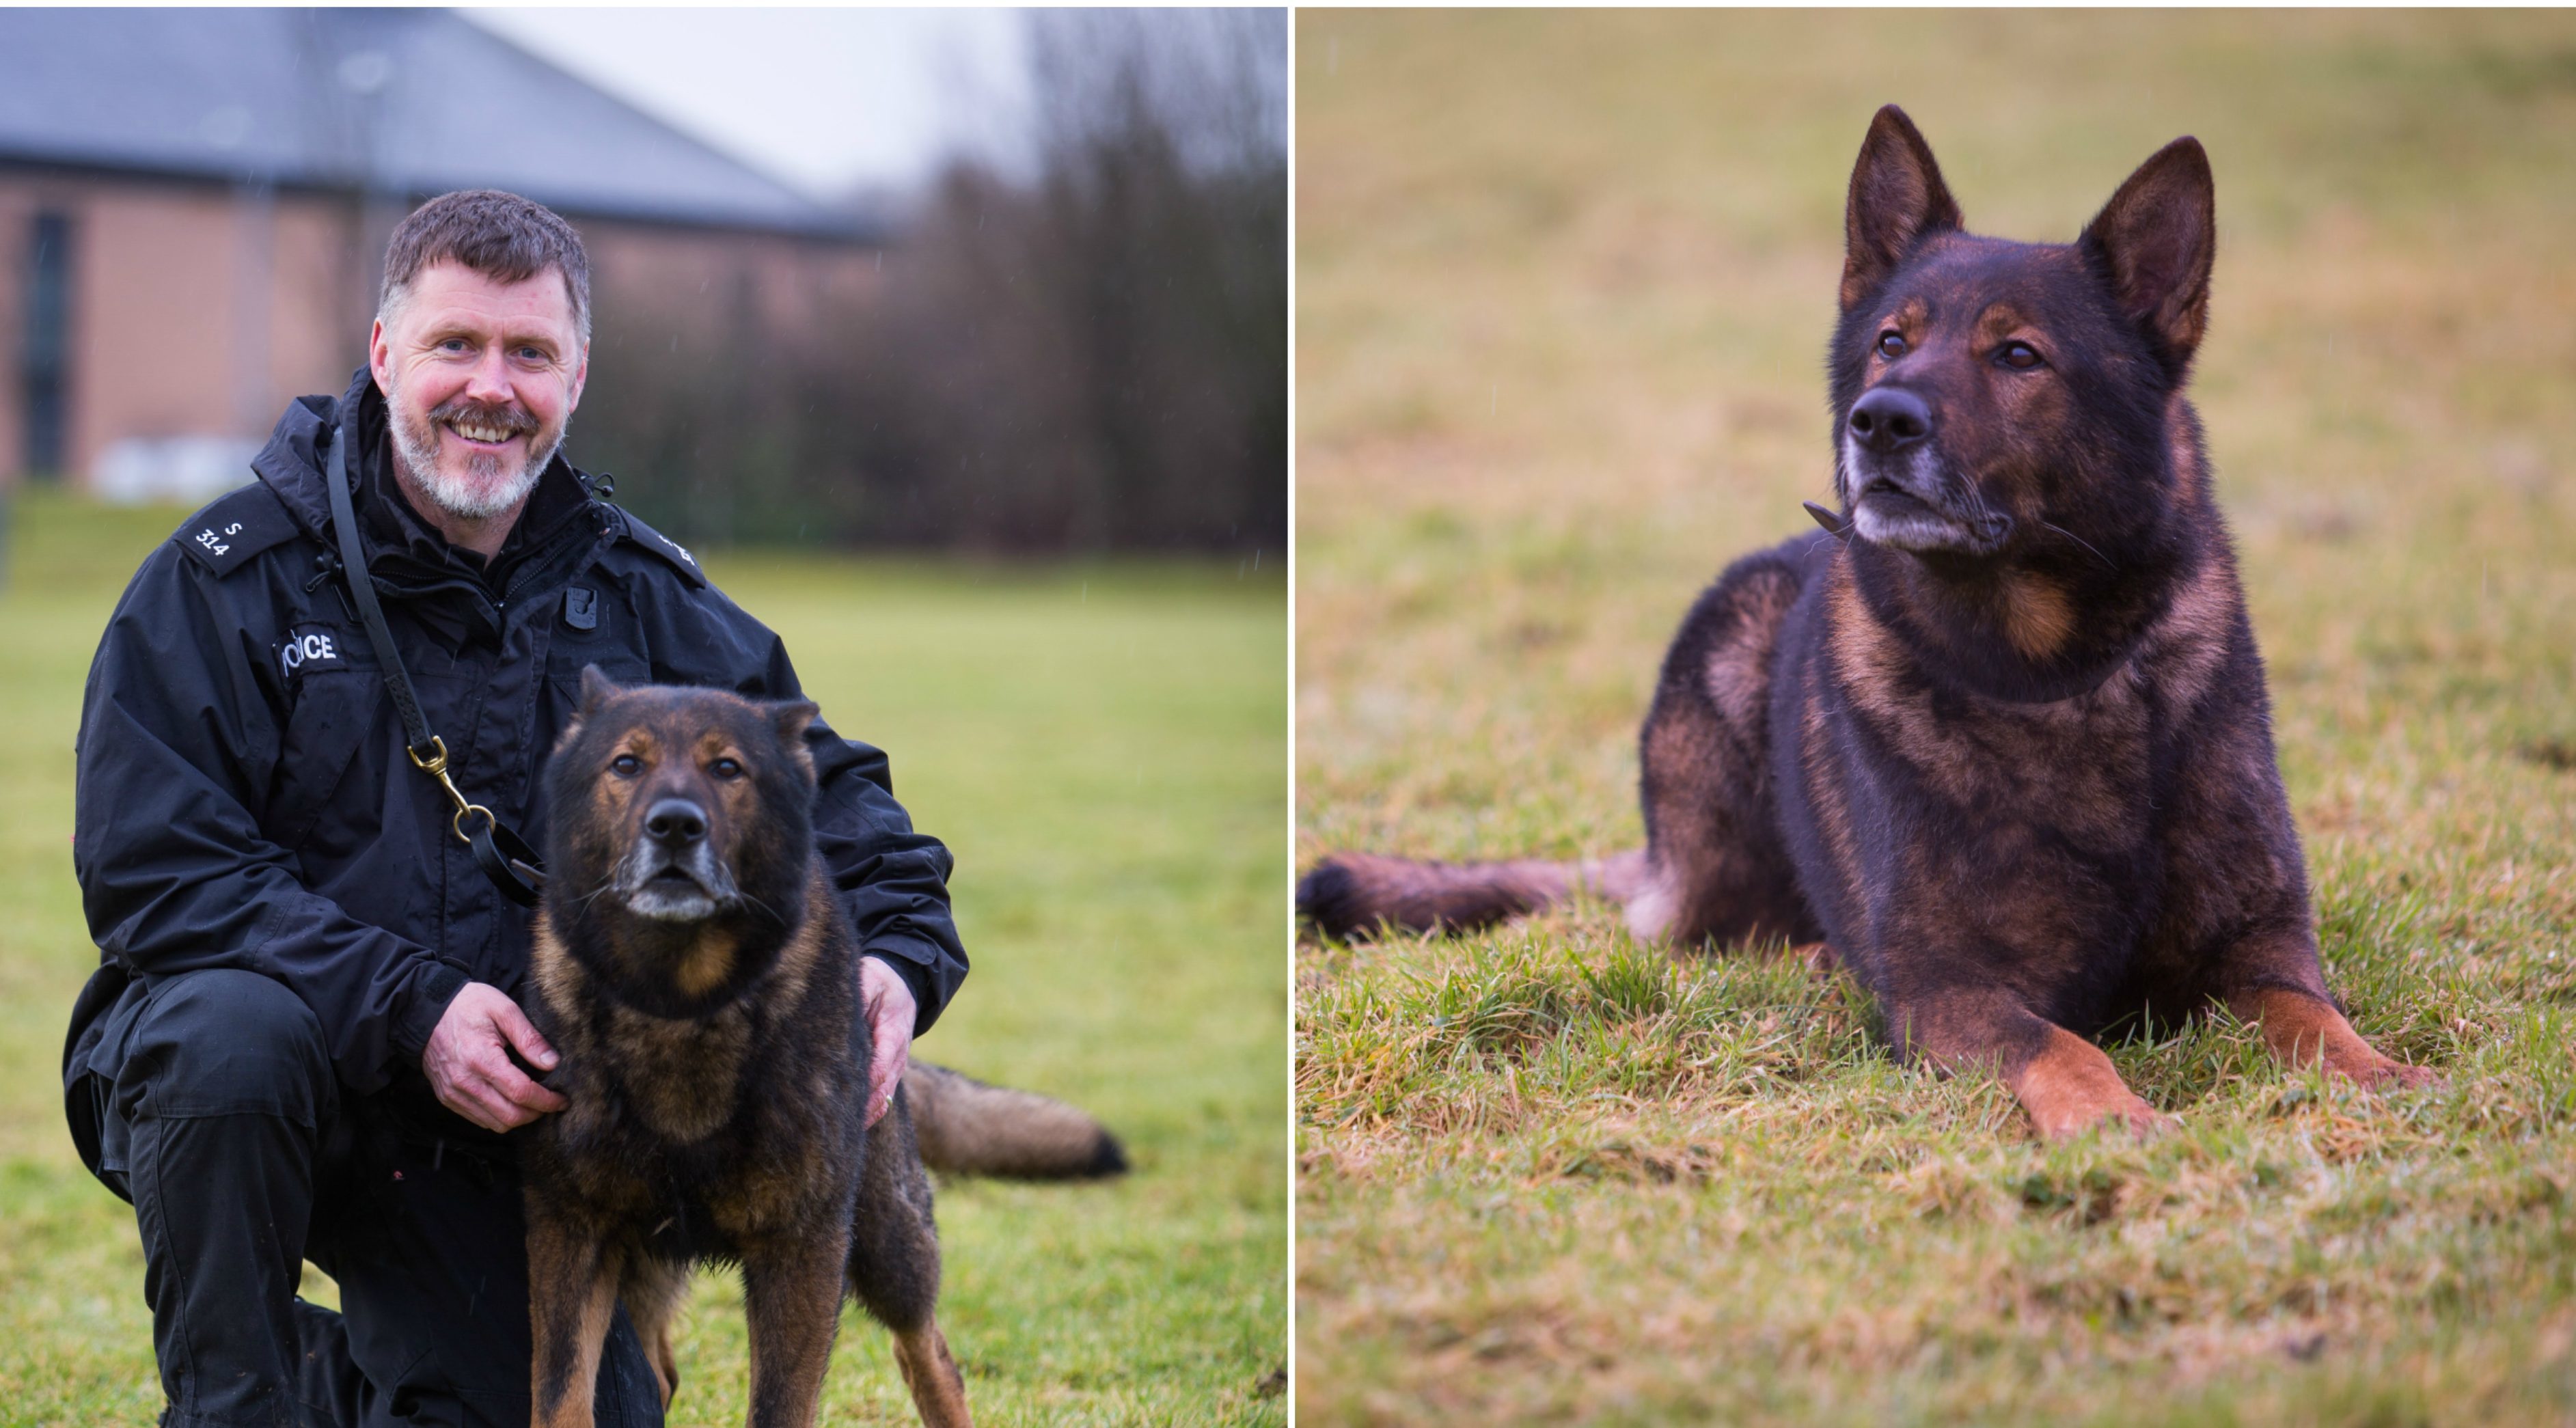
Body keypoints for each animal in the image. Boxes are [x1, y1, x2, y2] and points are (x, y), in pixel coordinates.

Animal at [525, 670, 1118, 1423]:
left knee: (930, 1355)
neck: (681, 1004)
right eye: (626, 764)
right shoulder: (572, 1231)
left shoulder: (802, 1249)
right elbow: (560, 1397)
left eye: (727, 768)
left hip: (888, 1238)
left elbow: (781, 1407)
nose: (676, 826)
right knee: (658, 1371)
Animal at [1308, 105, 2431, 1134]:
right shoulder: (1947, 987)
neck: (2047, 674)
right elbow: (2060, 1043)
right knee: (1708, 929)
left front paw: (2380, 1074)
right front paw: (2113, 1115)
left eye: (2017, 355)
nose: (1879, 419)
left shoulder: (2256, 944)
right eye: (1893, 341)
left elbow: (2309, 1011)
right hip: (1730, 669)